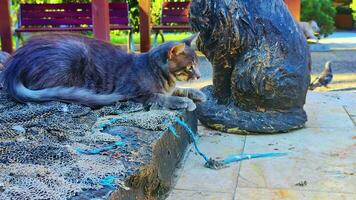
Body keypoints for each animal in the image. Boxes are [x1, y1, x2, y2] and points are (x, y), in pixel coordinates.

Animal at [2, 33, 206, 110]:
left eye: (197, 65)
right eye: (189, 67)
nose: (199, 75)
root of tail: (13, 66)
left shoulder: (170, 87)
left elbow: (179, 89)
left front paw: (195, 92)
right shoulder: (137, 93)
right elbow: (161, 97)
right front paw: (183, 102)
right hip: (74, 54)